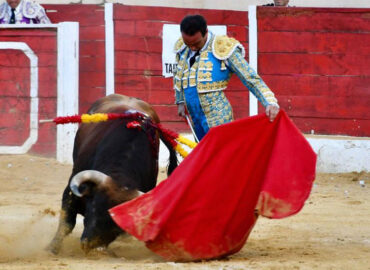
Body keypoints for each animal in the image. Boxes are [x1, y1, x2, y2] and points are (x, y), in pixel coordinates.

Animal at [47, 94, 178, 254]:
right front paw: (52, 249)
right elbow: (67, 222)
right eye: (94, 208)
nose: (88, 245)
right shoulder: (71, 191)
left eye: (117, 226)